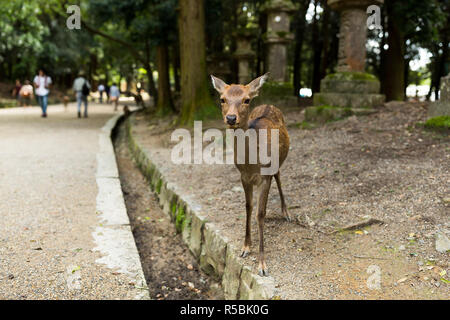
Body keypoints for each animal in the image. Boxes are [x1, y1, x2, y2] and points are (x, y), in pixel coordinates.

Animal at [210, 74, 290, 276]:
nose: (231, 118)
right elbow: (248, 208)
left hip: (278, 161)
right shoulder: (243, 177)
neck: (252, 164)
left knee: (279, 176)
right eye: (222, 99)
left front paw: (262, 264)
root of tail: (269, 104)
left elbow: (260, 214)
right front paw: (245, 247)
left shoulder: (265, 177)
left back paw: (286, 212)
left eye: (246, 100)